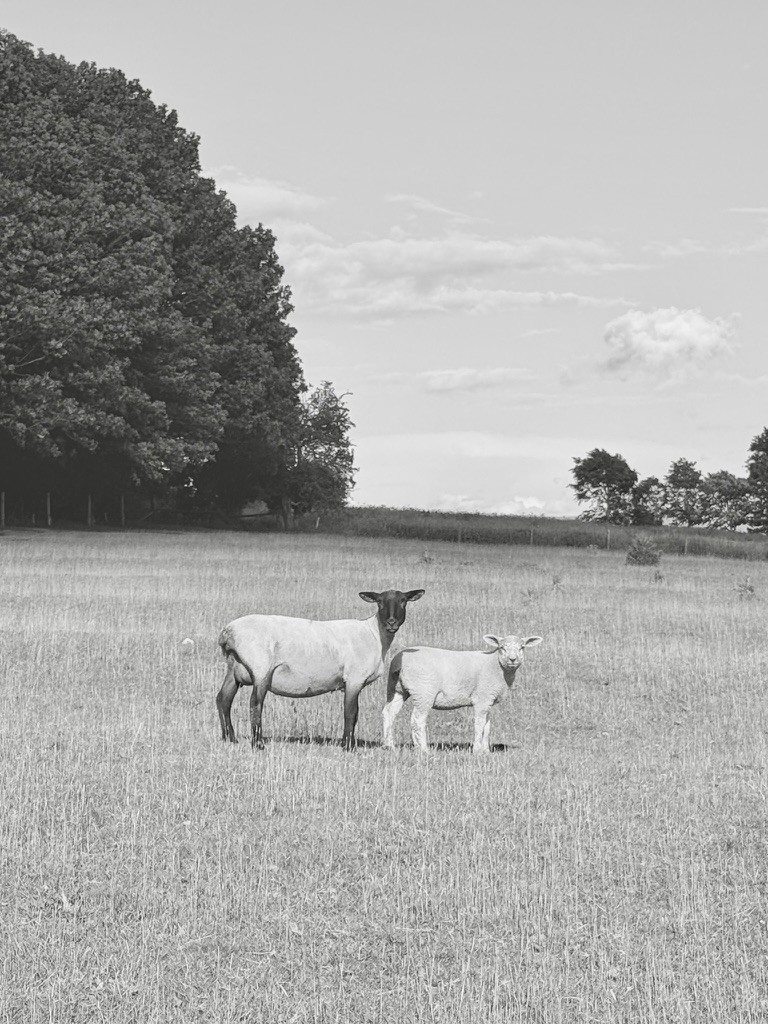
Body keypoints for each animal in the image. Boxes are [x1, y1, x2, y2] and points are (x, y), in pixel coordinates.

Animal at [216, 588, 425, 751]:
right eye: (380, 602)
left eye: (404, 601)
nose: (391, 622)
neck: (374, 634)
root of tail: (228, 631)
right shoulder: (354, 679)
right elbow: (350, 712)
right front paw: (348, 747)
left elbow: (354, 714)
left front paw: (347, 743)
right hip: (261, 669)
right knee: (255, 704)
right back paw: (258, 744)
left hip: (234, 668)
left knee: (223, 699)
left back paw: (230, 738)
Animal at [382, 633, 542, 754]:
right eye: (501, 647)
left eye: (522, 647)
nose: (512, 659)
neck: (496, 665)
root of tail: (398, 662)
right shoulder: (481, 698)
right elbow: (479, 724)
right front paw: (477, 750)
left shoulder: (488, 700)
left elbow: (487, 726)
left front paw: (486, 751)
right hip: (424, 692)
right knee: (417, 719)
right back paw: (423, 749)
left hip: (396, 688)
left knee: (389, 713)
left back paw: (389, 745)